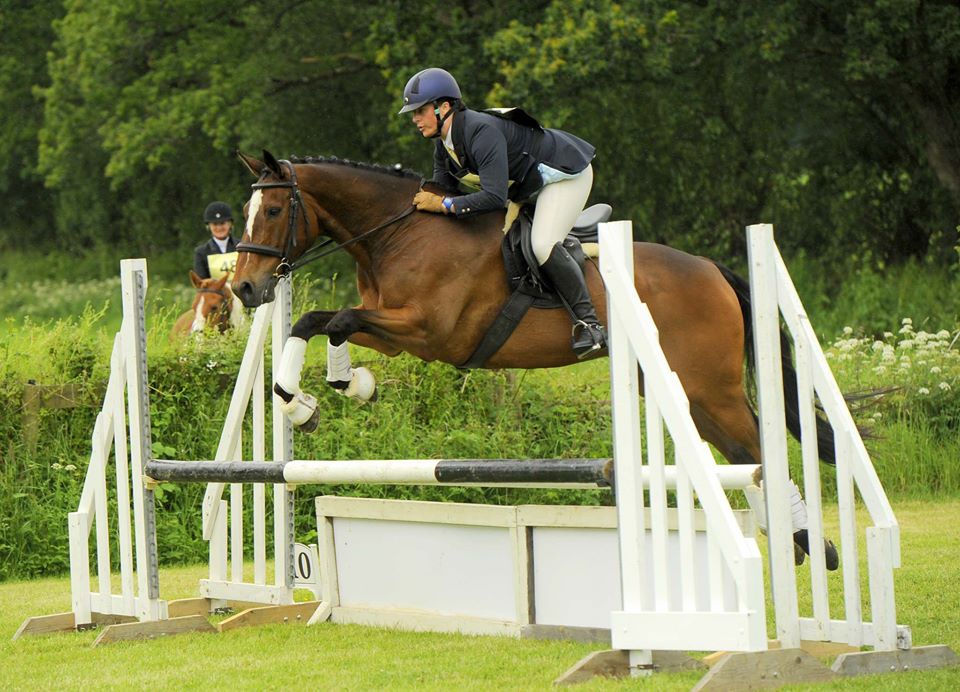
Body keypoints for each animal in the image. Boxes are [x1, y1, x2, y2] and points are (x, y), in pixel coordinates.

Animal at [231, 150, 839, 568]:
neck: (400, 234)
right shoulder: (396, 330)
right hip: (686, 392)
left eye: (276, 208)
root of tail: (713, 269)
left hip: (710, 385)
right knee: (743, 455)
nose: (243, 288)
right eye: (247, 210)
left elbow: (336, 321)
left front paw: (339, 388)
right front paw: (307, 400)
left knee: (758, 448)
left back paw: (814, 546)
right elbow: (317, 323)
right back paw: (798, 543)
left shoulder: (430, 331)